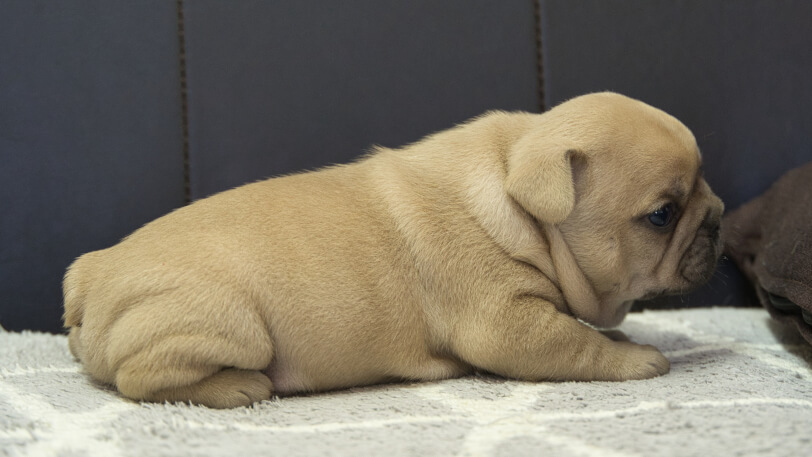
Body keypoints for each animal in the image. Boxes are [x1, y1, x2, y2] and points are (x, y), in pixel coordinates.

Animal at [63, 91, 724, 406]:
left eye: (704, 187)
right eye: (662, 215)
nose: (718, 217)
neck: (517, 192)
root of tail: (90, 278)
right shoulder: (507, 322)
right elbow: (577, 345)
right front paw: (636, 357)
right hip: (225, 325)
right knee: (139, 379)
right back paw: (237, 387)